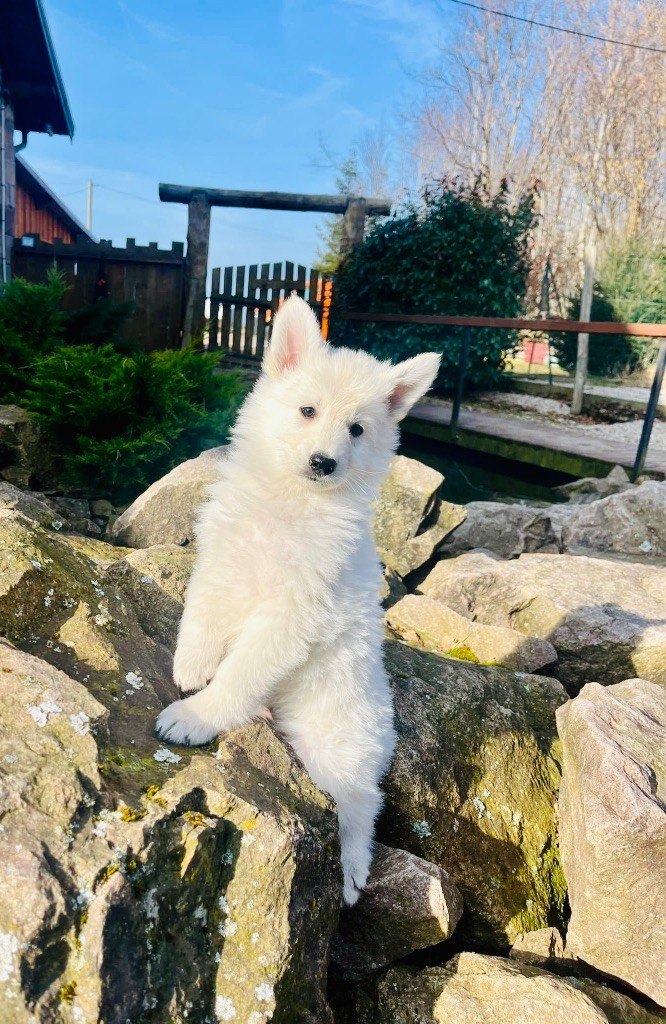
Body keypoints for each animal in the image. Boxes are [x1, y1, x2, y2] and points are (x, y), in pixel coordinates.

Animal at [155, 295, 440, 904]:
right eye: (307, 410)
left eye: (357, 429)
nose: (322, 462)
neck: (292, 504)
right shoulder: (224, 557)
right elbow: (202, 613)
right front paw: (191, 666)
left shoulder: (295, 613)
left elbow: (241, 671)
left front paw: (196, 715)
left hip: (338, 740)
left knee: (361, 804)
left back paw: (353, 871)